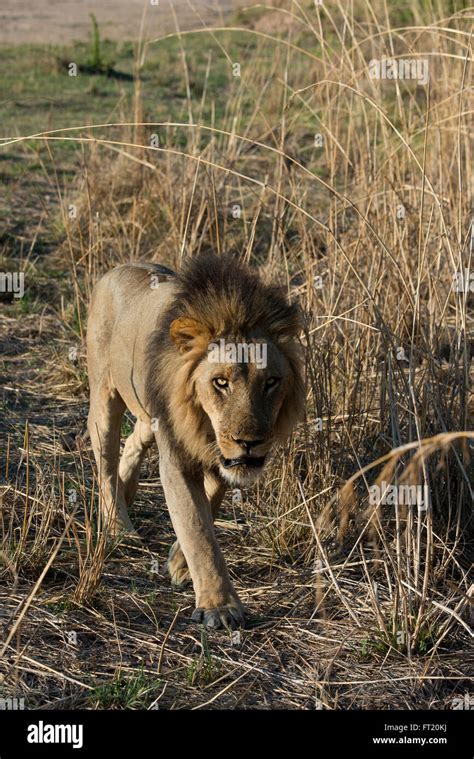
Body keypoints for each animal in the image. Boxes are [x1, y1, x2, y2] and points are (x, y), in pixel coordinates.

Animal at [87, 255, 306, 628]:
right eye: (220, 382)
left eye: (271, 382)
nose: (249, 441)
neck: (202, 422)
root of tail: (118, 268)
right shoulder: (176, 453)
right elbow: (196, 526)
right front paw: (220, 606)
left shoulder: (219, 452)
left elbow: (211, 501)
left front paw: (179, 562)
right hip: (105, 396)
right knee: (105, 461)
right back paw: (118, 527)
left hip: (151, 409)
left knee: (134, 441)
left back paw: (127, 491)